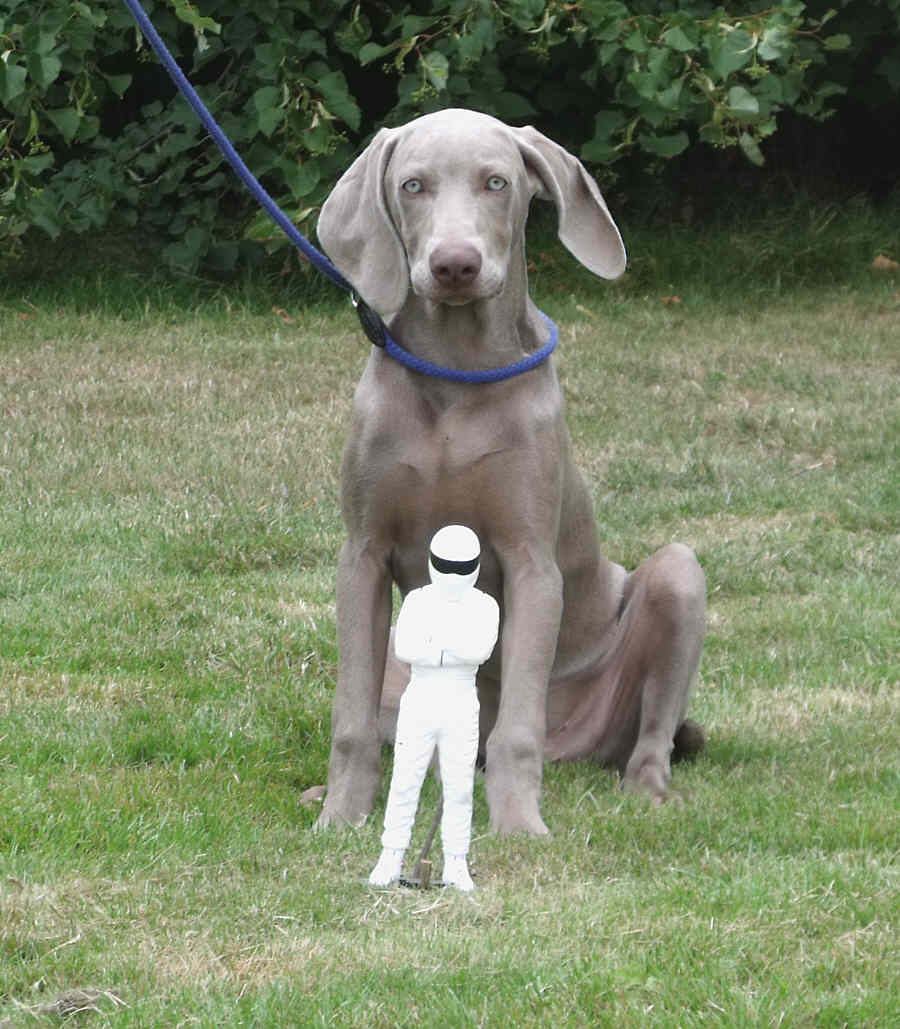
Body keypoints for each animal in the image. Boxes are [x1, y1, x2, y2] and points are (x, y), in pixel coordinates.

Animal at [314, 106, 703, 835]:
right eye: (412, 186)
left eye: (496, 182)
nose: (455, 265)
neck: (457, 369)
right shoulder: (362, 555)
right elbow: (349, 719)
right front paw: (340, 816)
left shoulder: (530, 562)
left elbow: (517, 725)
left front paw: (520, 826)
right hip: (403, 660)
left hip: (677, 578)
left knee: (649, 734)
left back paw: (648, 789)